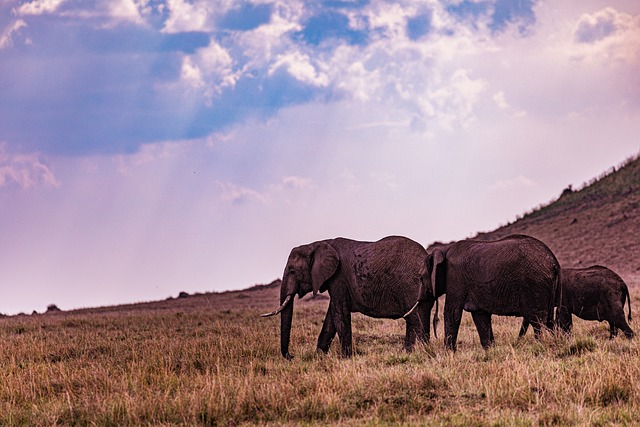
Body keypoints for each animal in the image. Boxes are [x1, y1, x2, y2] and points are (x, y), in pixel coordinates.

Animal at [260, 236, 436, 360]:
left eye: (292, 271)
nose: (292, 356)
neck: (318, 243)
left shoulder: (338, 278)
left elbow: (339, 314)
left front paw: (345, 359)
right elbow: (331, 317)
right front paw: (319, 357)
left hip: (409, 285)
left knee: (414, 318)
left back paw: (424, 352)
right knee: (416, 318)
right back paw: (411, 353)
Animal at [404, 234, 560, 352]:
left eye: (420, 278)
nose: (427, 349)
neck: (444, 251)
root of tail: (554, 263)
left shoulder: (455, 278)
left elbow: (452, 312)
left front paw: (448, 352)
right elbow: (480, 316)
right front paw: (490, 350)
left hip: (534, 285)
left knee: (538, 321)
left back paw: (541, 345)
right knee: (549, 321)